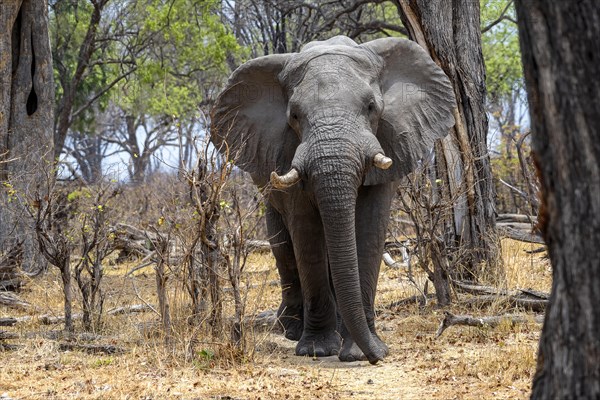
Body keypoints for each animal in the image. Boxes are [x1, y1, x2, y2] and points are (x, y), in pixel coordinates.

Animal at [211, 36, 454, 364]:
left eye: (371, 107)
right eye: (294, 116)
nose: (379, 356)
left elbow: (369, 229)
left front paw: (357, 353)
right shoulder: (286, 151)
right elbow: (306, 233)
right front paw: (317, 350)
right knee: (283, 247)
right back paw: (291, 330)